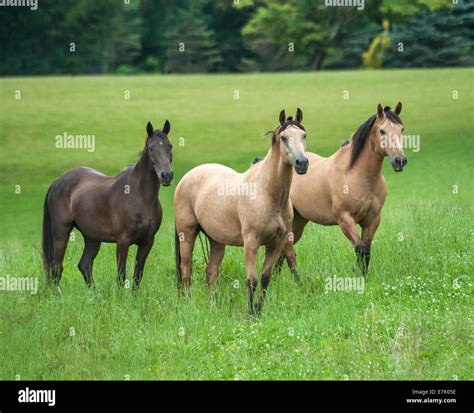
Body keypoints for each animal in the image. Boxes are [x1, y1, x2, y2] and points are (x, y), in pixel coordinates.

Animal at [41, 119, 173, 290]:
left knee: (84, 265)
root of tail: (57, 182)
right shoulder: (123, 241)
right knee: (57, 267)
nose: (167, 176)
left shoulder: (147, 241)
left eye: (170, 146)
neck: (139, 196)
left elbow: (137, 276)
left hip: (92, 237)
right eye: (151, 148)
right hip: (61, 232)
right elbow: (121, 276)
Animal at [174, 108, 308, 312]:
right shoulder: (251, 242)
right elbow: (251, 280)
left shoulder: (276, 243)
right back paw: (189, 305)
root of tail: (185, 178)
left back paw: (213, 306)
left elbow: (265, 278)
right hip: (187, 234)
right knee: (186, 270)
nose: (302, 163)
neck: (267, 194)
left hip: (216, 240)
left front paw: (258, 311)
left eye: (304, 135)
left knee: (211, 271)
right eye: (284, 137)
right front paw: (250, 313)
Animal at [280, 102, 410, 278]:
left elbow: (367, 251)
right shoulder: (345, 220)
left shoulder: (372, 220)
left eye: (401, 129)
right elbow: (360, 249)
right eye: (382, 131)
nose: (399, 161)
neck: (356, 174)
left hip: (298, 222)